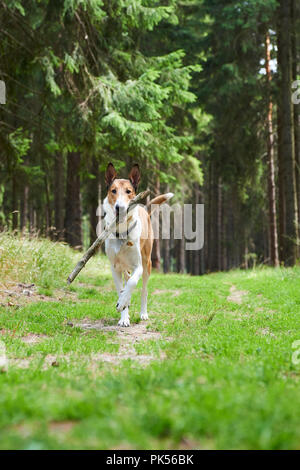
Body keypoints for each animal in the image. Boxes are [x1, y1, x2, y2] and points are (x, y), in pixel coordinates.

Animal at [103, 163, 173, 324]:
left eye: (128, 191)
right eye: (113, 191)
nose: (120, 207)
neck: (122, 232)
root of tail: (144, 209)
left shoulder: (139, 266)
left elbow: (133, 283)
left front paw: (123, 303)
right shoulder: (115, 268)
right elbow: (121, 289)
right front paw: (123, 317)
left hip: (147, 263)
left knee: (144, 290)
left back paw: (143, 313)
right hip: (125, 267)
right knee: (127, 279)